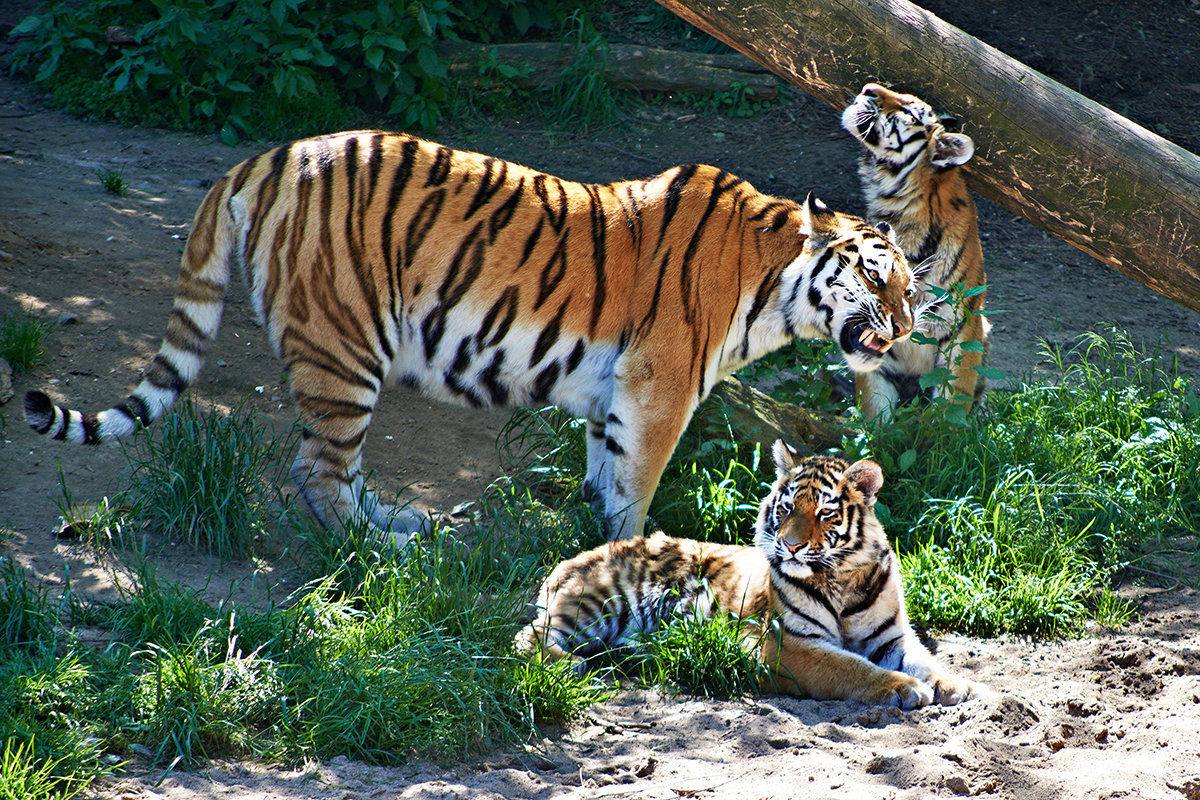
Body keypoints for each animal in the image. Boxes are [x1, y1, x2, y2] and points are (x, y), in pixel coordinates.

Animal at [21, 131, 916, 544]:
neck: (772, 286)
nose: (907, 329)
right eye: (880, 280)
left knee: (335, 469)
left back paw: (399, 522)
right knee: (316, 472)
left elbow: (605, 471)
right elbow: (637, 484)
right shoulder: (658, 387)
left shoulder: (615, 393)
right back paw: (382, 552)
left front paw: (587, 541)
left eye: (912, 288)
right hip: (345, 347)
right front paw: (635, 552)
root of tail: (265, 157)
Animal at [516, 441, 974, 710]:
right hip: (600, 603)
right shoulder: (786, 644)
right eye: (787, 507)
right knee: (529, 636)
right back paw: (570, 667)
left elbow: (927, 660)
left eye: (824, 512)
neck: (841, 577)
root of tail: (572, 559)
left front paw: (961, 686)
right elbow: (850, 668)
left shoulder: (892, 637)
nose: (791, 546)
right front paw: (902, 687)